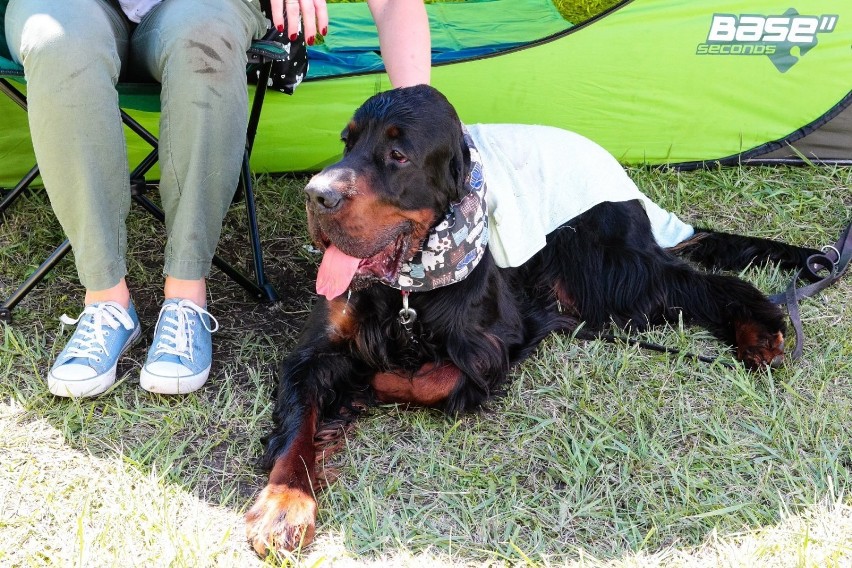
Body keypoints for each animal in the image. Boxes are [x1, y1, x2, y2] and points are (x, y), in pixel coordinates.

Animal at [245, 85, 812, 556]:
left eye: (397, 155)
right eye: (347, 143)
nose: (316, 194)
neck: (408, 283)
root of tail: (623, 178)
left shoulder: (498, 337)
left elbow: (434, 377)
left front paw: (369, 383)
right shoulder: (315, 351)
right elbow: (299, 426)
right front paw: (282, 507)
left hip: (605, 269)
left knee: (698, 283)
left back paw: (760, 328)